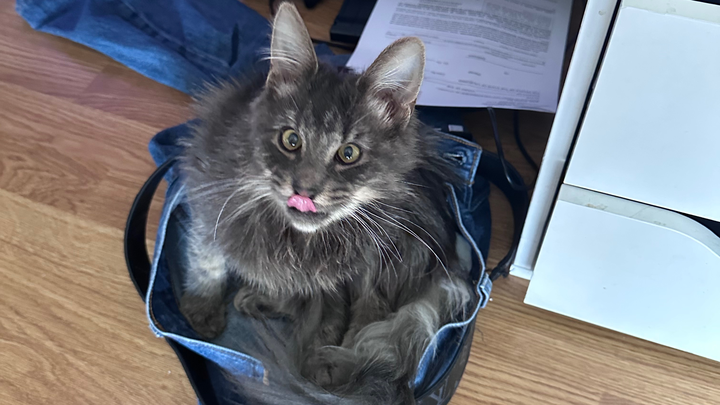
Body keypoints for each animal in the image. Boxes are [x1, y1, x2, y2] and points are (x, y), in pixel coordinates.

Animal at [178, 3, 473, 403]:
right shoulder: (207, 192)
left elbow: (330, 323)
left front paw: (319, 372)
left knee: (369, 320)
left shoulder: (339, 283)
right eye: (290, 140)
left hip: (393, 251)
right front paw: (203, 308)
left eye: (349, 153)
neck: (294, 242)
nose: (304, 190)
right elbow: (206, 260)